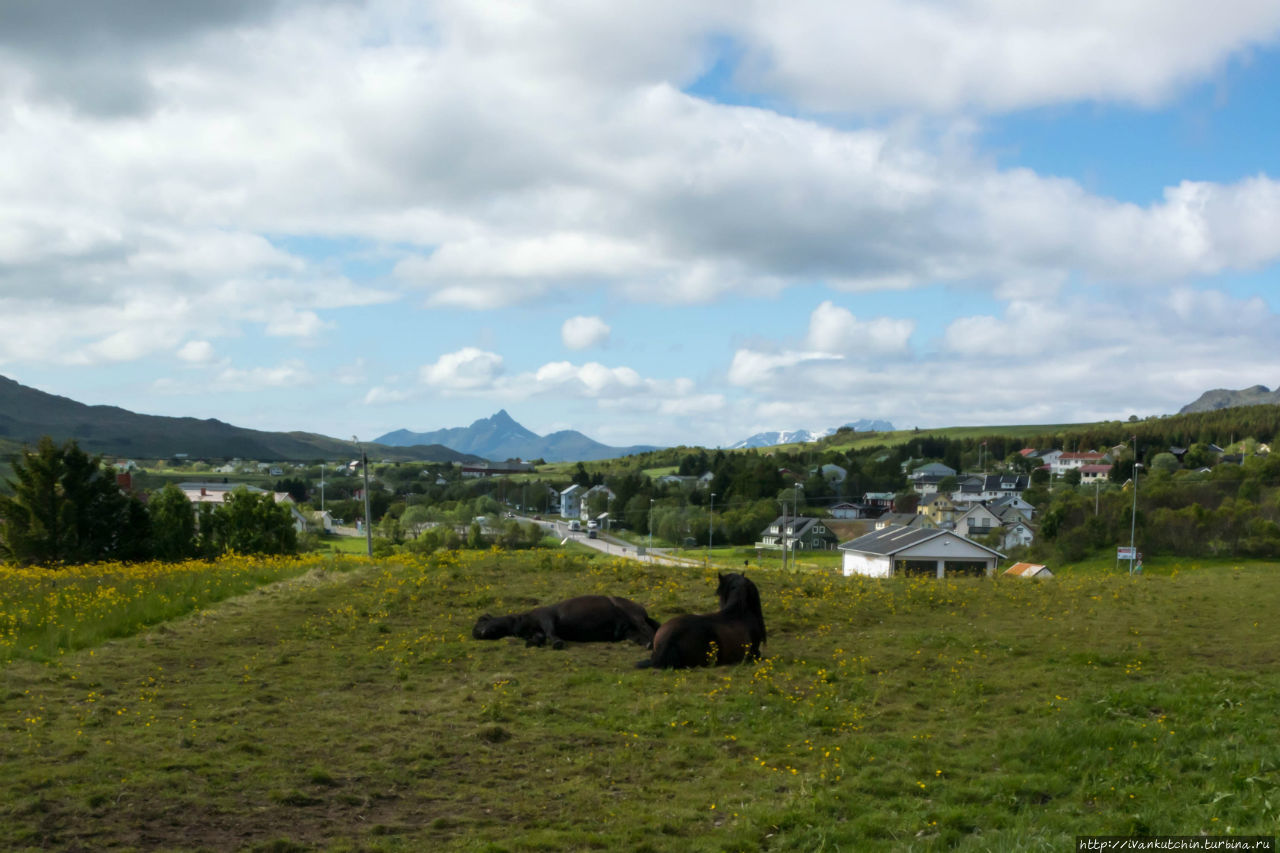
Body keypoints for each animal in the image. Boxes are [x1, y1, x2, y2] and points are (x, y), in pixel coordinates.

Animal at [468, 594, 660, 648]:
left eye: (482, 620)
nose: (479, 633)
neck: (523, 621)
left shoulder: (545, 618)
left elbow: (551, 632)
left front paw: (557, 643)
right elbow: (539, 637)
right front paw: (532, 643)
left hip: (635, 617)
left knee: (650, 630)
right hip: (628, 630)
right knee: (641, 636)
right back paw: (647, 644)